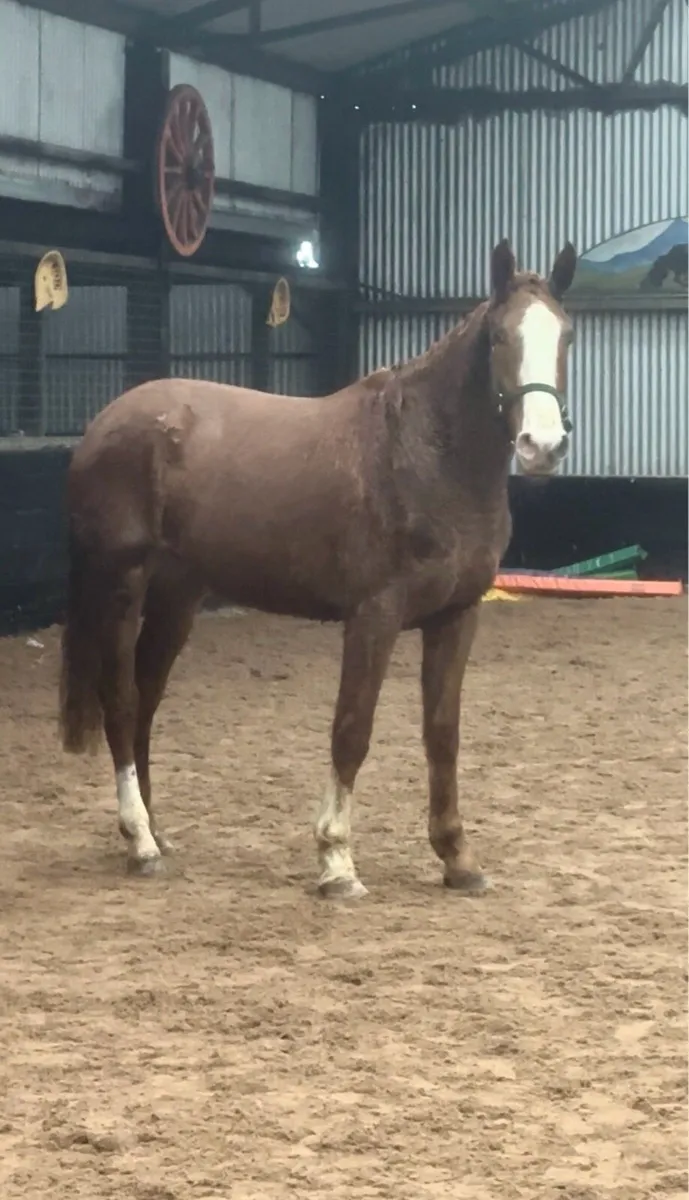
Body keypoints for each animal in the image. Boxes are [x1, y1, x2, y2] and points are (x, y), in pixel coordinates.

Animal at [59, 238, 577, 899]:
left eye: (565, 335)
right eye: (498, 336)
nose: (543, 446)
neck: (425, 456)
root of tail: (105, 423)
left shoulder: (457, 617)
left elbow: (443, 734)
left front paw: (458, 858)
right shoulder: (374, 616)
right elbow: (352, 730)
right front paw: (336, 861)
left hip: (179, 595)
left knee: (147, 697)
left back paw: (155, 832)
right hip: (121, 583)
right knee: (121, 701)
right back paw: (140, 841)